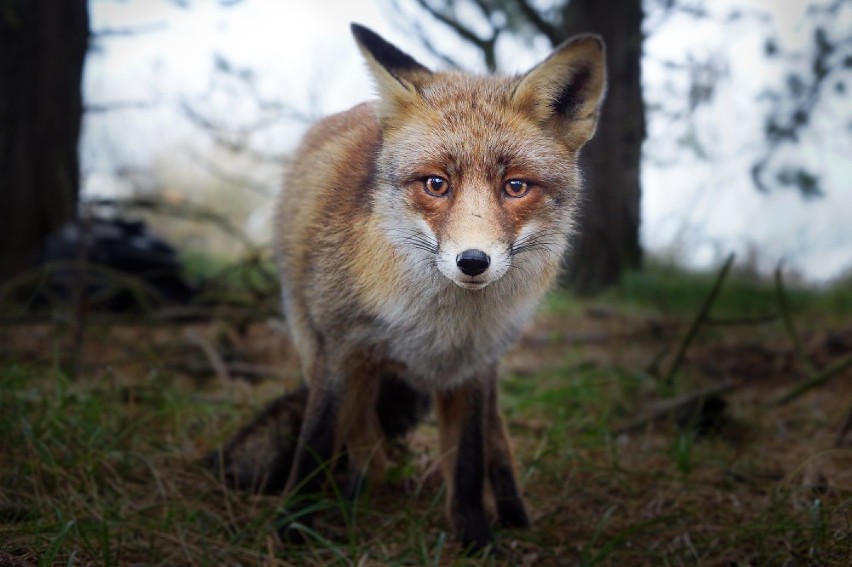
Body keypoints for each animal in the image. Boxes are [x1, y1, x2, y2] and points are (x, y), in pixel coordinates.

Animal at [266, 24, 604, 552]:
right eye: (436, 183)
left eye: (515, 186)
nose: (473, 261)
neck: (437, 328)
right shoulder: (340, 352)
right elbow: (314, 446)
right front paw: (290, 527)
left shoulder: (472, 370)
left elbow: (467, 464)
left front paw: (477, 542)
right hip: (314, 343)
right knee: (366, 444)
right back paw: (355, 496)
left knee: (495, 441)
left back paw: (513, 511)